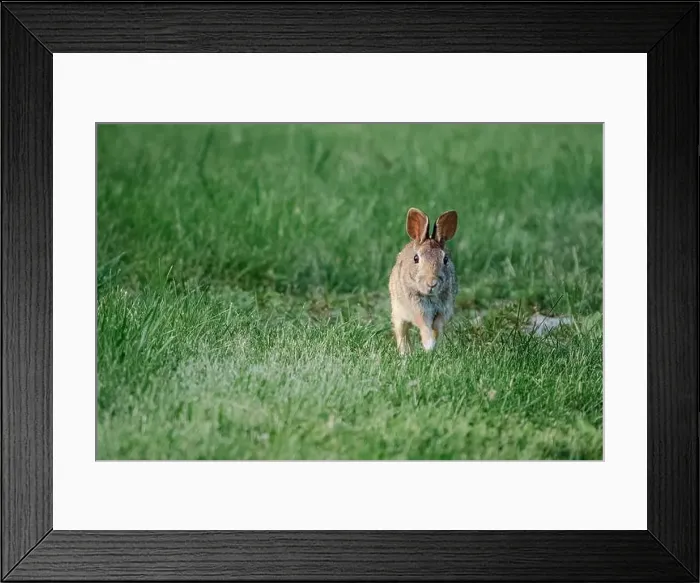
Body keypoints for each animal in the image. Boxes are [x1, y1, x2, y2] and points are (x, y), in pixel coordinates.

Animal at [389, 207, 459, 355]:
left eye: (446, 259)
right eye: (416, 258)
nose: (432, 283)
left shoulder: (443, 310)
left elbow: (437, 326)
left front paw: (434, 345)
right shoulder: (417, 309)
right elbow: (424, 325)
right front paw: (429, 345)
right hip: (398, 312)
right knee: (401, 332)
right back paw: (405, 353)